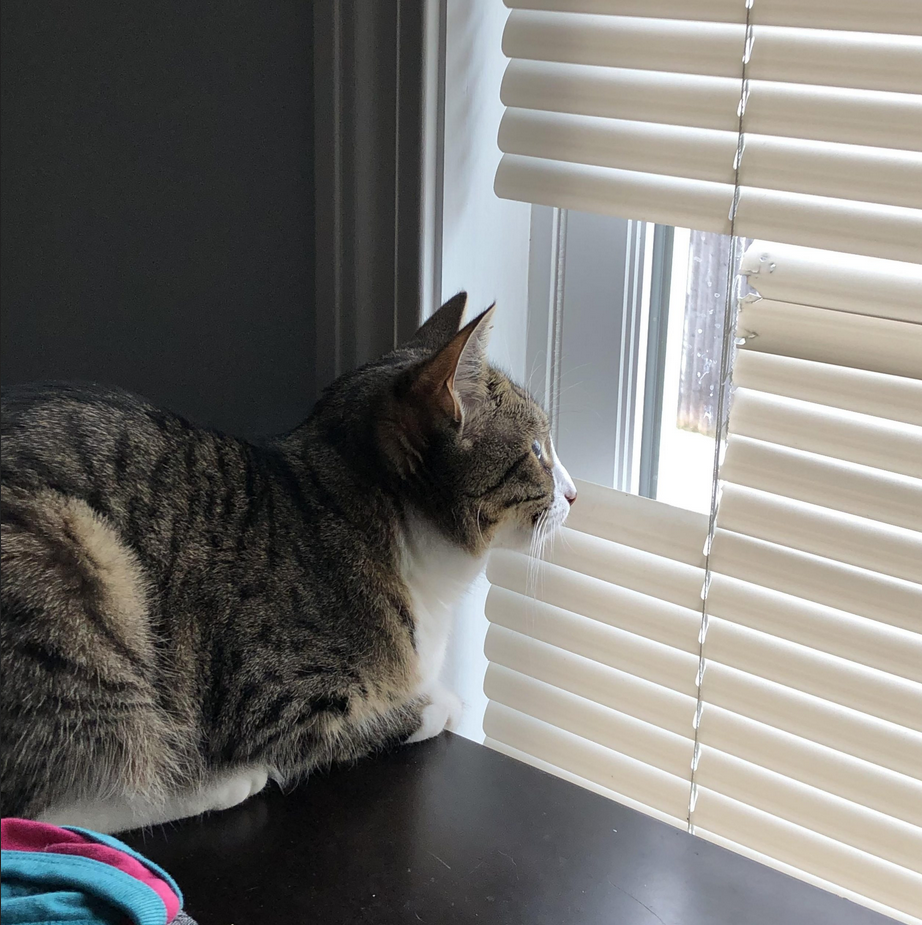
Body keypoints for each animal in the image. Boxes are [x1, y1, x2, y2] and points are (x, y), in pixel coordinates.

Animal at [0, 293, 576, 833]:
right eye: (536, 450)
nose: (573, 495)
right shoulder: (278, 701)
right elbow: (368, 722)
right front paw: (441, 702)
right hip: (71, 560)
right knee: (55, 802)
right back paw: (213, 784)